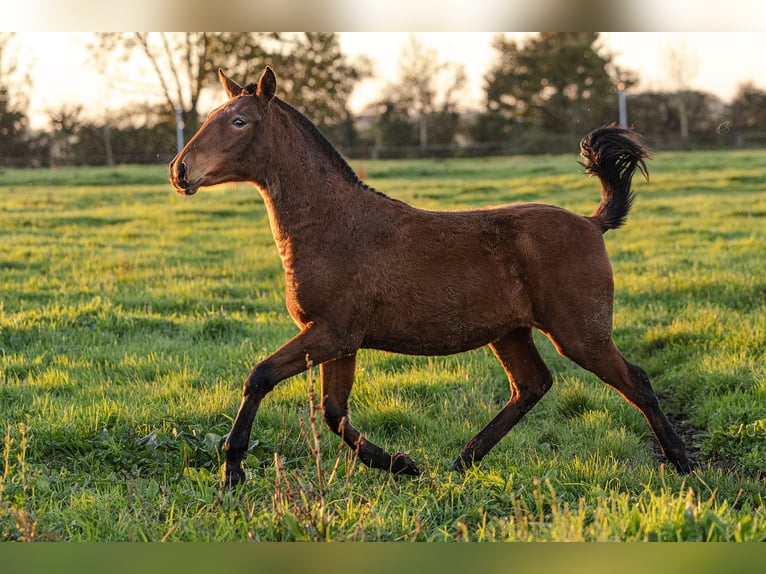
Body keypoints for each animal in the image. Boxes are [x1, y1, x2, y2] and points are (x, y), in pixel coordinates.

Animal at [170, 67, 696, 490]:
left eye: (239, 121)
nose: (180, 170)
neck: (331, 223)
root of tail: (591, 223)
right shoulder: (340, 341)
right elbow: (335, 413)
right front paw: (403, 464)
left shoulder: (331, 333)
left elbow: (259, 377)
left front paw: (232, 469)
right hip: (510, 333)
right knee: (532, 385)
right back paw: (461, 462)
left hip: (580, 335)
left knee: (635, 381)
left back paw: (684, 464)